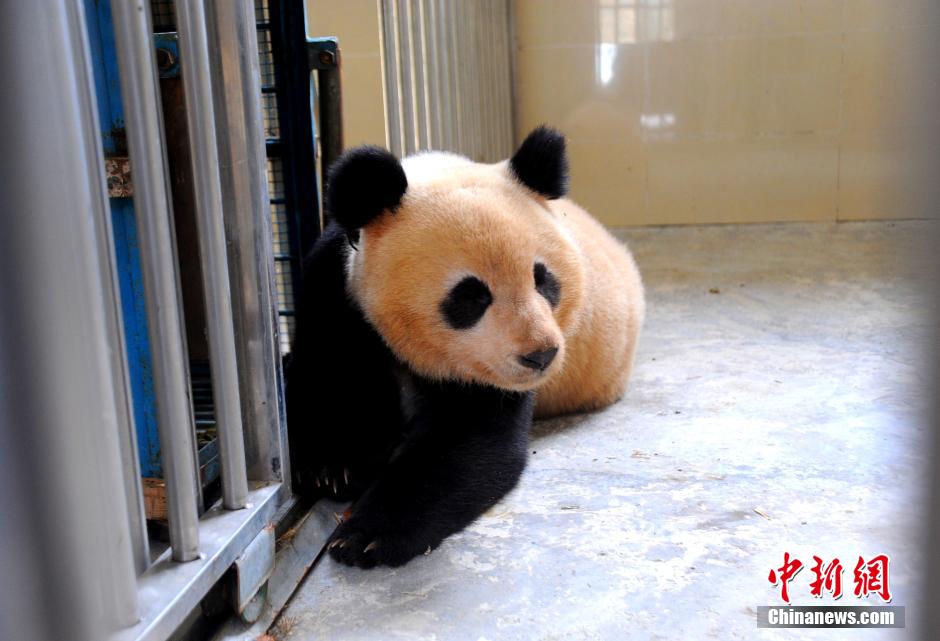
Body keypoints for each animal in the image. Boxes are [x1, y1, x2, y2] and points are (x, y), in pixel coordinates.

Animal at [285, 126, 644, 568]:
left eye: (544, 279)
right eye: (471, 295)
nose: (540, 355)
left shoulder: (485, 370)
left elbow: (466, 443)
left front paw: (366, 537)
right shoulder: (336, 290)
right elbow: (326, 373)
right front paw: (334, 468)